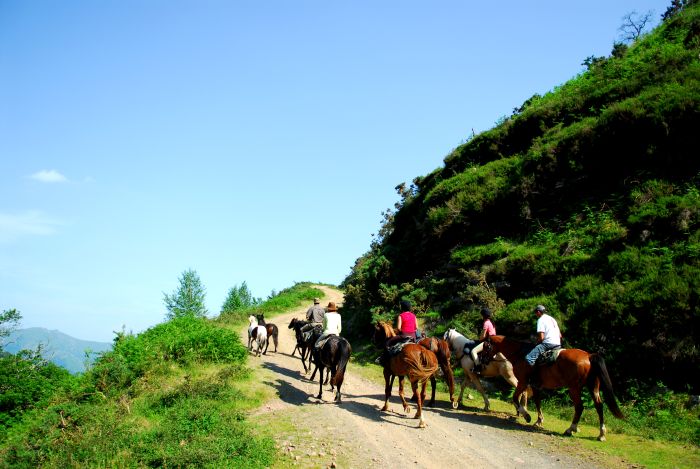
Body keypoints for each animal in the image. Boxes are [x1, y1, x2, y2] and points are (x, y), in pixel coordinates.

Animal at [484, 334, 628, 440]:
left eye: (485, 346)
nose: (483, 360)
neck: (519, 353)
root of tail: (589, 356)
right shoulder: (535, 386)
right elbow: (537, 401)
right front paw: (539, 420)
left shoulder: (523, 382)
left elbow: (515, 398)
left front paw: (527, 416)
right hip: (593, 387)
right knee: (599, 406)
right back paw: (601, 433)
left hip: (574, 388)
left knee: (579, 407)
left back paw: (571, 429)